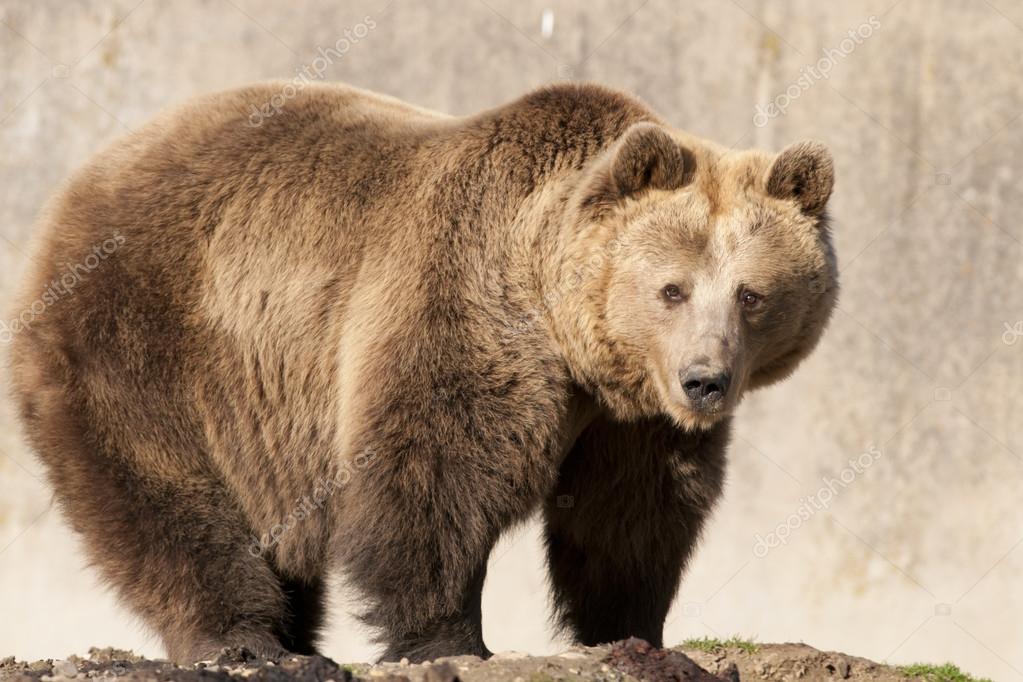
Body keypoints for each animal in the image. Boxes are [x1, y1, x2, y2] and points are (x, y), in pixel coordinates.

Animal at [6, 78, 838, 662]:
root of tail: (81, 180)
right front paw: (448, 638)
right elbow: (432, 473)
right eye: (671, 288)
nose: (705, 380)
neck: (561, 326)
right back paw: (241, 638)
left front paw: (627, 628)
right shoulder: (460, 305)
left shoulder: (627, 419)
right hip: (149, 336)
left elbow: (629, 514)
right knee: (165, 490)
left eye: (751, 294)